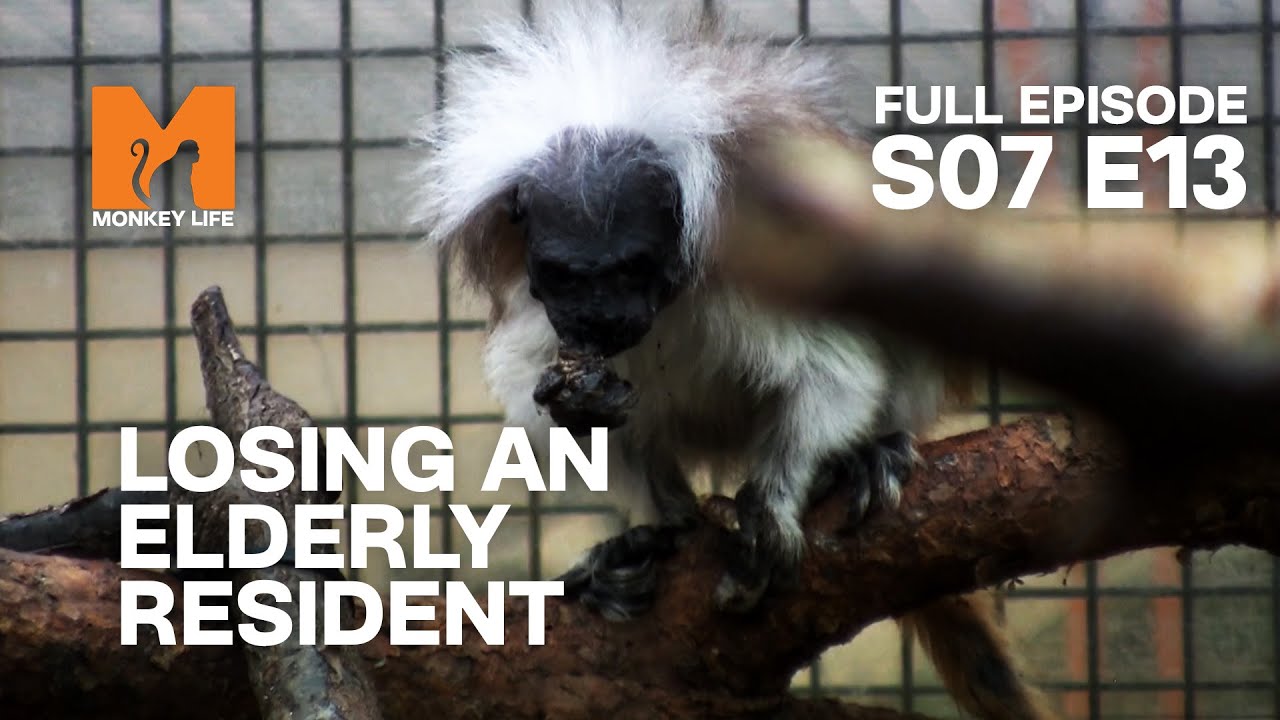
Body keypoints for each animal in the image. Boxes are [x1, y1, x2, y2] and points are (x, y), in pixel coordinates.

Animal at [412, 3, 1057, 719]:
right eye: (565, 276)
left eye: (630, 267)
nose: (599, 319)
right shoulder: (539, 315)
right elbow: (539, 400)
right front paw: (586, 413)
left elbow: (832, 373)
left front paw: (773, 507)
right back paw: (661, 534)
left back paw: (867, 455)